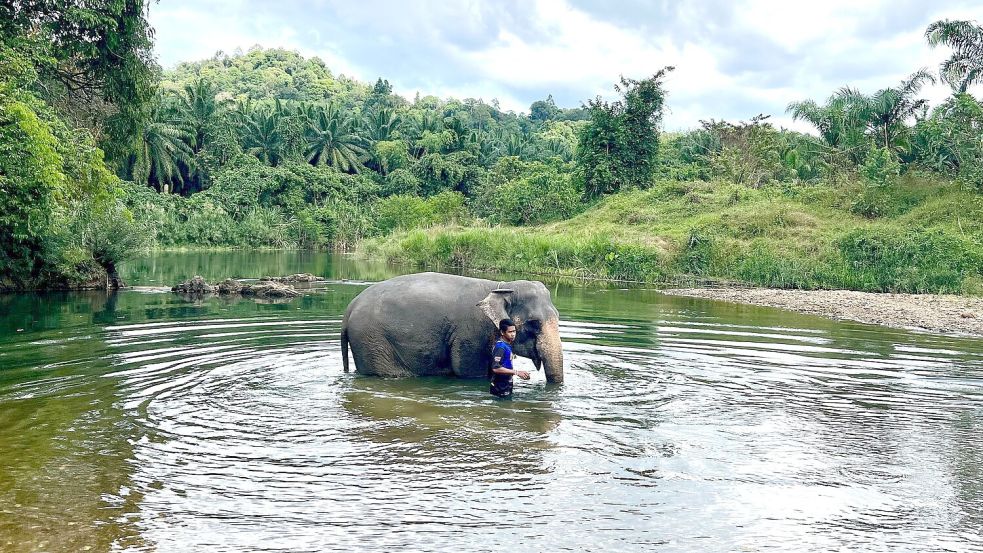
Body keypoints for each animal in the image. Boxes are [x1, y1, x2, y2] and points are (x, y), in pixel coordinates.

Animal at [342, 272, 564, 384]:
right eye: (534, 323)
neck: (500, 287)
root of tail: (349, 308)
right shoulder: (470, 333)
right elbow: (469, 372)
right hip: (371, 341)